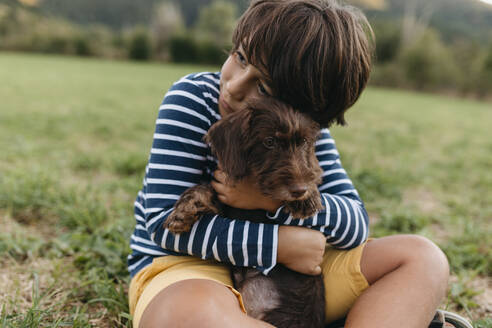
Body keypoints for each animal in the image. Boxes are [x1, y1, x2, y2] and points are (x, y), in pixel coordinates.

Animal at [165, 98, 326, 328]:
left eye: (304, 142)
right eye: (269, 141)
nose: (299, 190)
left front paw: (309, 196)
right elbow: (204, 188)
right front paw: (183, 211)